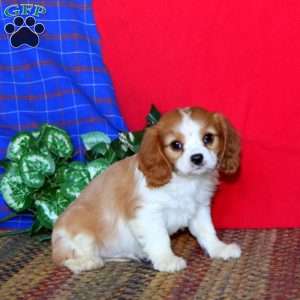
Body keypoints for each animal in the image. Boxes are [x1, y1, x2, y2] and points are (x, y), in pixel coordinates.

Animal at [51, 106, 240, 274]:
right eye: (176, 145)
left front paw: (219, 248)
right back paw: (87, 262)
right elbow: (159, 238)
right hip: (81, 234)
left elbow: (207, 231)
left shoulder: (199, 208)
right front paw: (166, 259)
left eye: (208, 138)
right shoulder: (147, 213)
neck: (183, 180)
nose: (197, 158)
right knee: (66, 259)